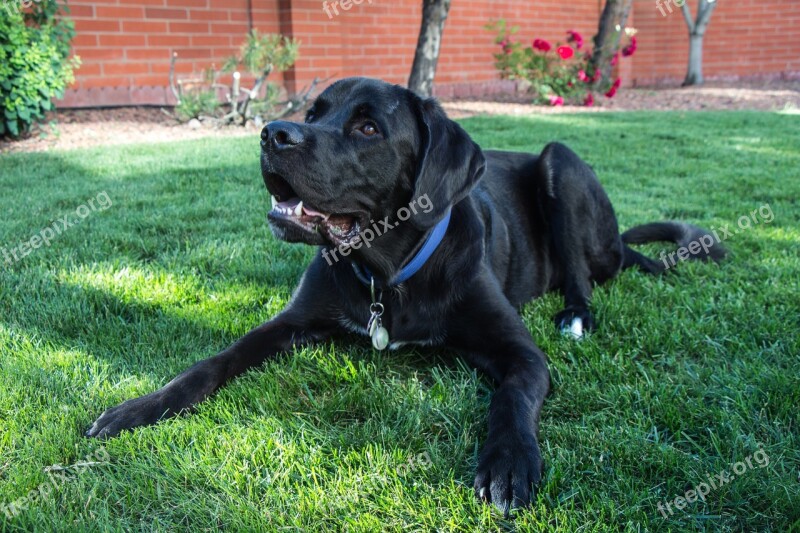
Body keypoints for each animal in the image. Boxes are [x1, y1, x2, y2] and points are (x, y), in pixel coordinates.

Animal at [87, 77, 724, 512]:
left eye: (368, 127)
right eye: (314, 112)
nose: (271, 133)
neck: (387, 274)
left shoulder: (520, 352)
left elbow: (512, 397)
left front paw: (508, 462)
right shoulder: (290, 321)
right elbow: (213, 361)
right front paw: (139, 407)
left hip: (561, 165)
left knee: (582, 275)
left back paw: (575, 315)